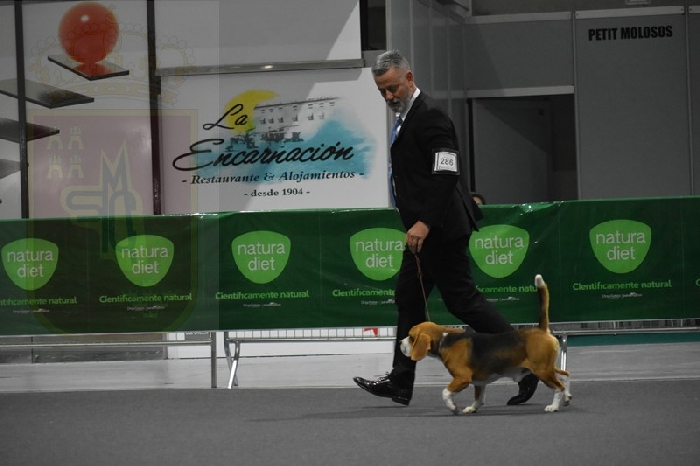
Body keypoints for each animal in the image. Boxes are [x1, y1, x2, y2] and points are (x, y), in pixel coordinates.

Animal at [399, 274, 571, 414]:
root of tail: (540, 329)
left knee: (559, 387)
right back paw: (567, 397)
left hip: (542, 369)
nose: (400, 342)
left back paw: (553, 406)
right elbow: (479, 398)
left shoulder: (462, 378)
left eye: (411, 336)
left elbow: (445, 393)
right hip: (546, 367)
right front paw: (472, 408)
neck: (444, 340)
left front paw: (453, 407)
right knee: (564, 376)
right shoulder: (479, 381)